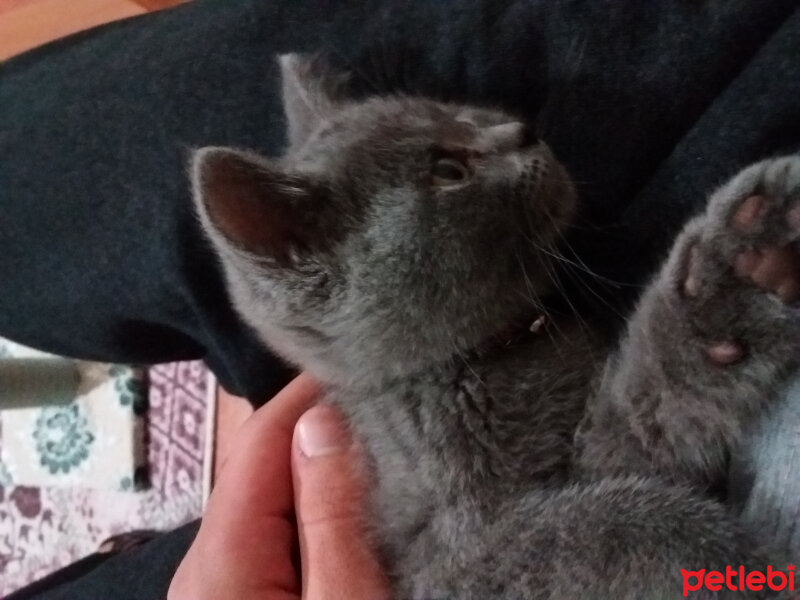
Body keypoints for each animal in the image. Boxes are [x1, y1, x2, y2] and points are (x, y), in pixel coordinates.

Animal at [191, 54, 796, 596]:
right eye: (447, 172)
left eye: (458, 113)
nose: (521, 131)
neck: (498, 353)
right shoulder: (444, 556)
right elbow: (594, 528)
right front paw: (732, 558)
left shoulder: (606, 440)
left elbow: (647, 410)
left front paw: (741, 273)